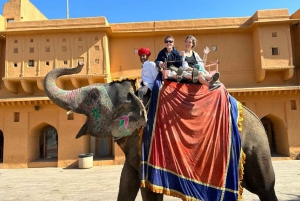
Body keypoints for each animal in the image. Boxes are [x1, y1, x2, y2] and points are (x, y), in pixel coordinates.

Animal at [43, 63, 278, 201]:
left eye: (93, 96)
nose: (78, 64)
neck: (139, 93)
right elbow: (126, 182)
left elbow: (147, 189)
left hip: (257, 147)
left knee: (265, 187)